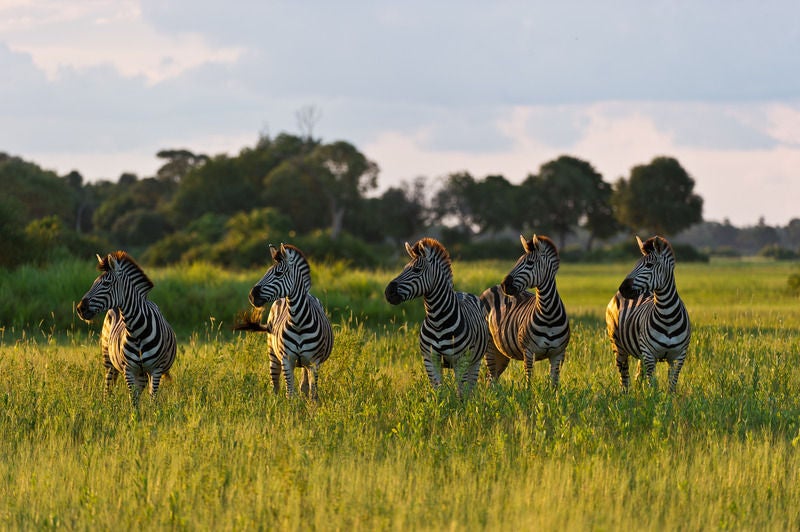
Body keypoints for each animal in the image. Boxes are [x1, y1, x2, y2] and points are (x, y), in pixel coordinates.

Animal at [75, 251, 177, 406]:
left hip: (143, 373)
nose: (80, 309)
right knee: (108, 388)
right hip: (109, 361)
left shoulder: (156, 369)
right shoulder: (128, 369)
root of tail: (115, 307)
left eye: (106, 283)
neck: (137, 332)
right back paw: (106, 408)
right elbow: (133, 400)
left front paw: (153, 413)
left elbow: (152, 399)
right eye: (94, 283)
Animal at [242, 243, 332, 396]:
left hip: (306, 364)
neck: (299, 322)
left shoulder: (314, 362)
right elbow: (289, 393)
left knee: (304, 386)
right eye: (266, 272)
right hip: (272, 353)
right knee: (275, 385)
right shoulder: (286, 360)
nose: (251, 296)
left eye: (278, 274)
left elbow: (313, 394)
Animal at [382, 238, 488, 394]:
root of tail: (463, 292)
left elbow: (461, 393)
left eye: (417, 270)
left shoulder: (461, 360)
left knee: (470, 389)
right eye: (404, 268)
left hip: (475, 361)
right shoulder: (430, 359)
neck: (437, 321)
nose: (388, 292)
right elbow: (439, 392)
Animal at [478, 236, 572, 386]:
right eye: (518, 261)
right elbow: (529, 383)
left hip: (501, 352)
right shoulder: (528, 352)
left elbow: (554, 384)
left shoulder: (558, 354)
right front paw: (529, 392)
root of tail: (492, 288)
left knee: (491, 378)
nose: (504, 285)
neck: (549, 313)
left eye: (530, 263)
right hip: (490, 347)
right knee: (490, 379)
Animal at [604, 235, 692, 392]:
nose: (623, 288)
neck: (667, 315)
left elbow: (672, 386)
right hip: (618, 346)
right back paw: (625, 395)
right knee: (624, 378)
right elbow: (653, 386)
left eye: (649, 265)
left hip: (640, 354)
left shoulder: (678, 357)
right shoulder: (650, 355)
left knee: (637, 376)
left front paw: (668, 398)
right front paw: (652, 398)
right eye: (635, 264)